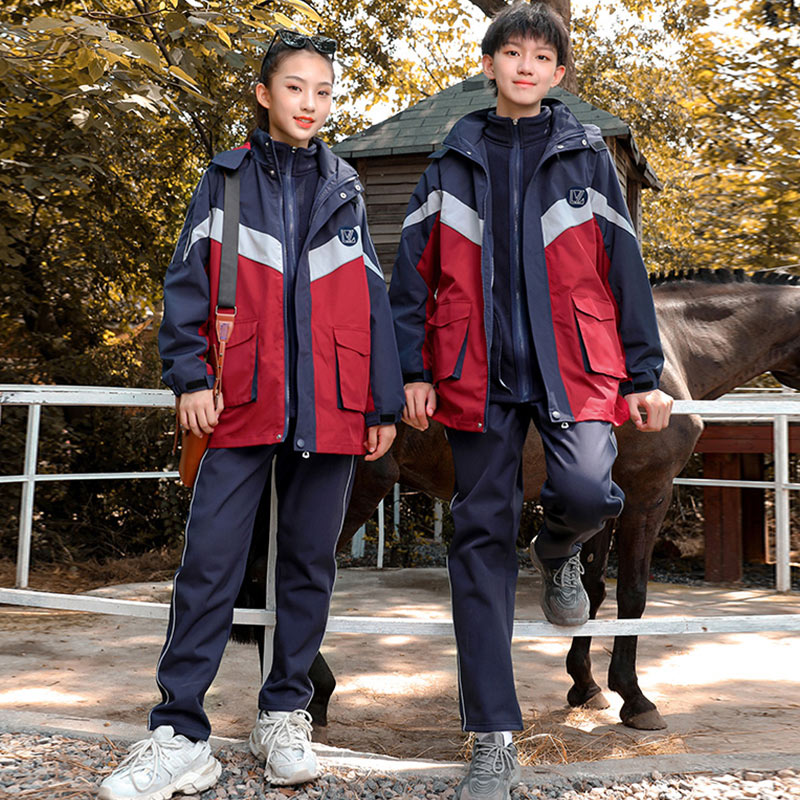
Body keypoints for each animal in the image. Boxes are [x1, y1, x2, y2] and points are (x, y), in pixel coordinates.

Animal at [236, 270, 800, 736]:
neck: (673, 346)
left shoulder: (607, 498)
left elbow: (594, 590)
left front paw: (585, 686)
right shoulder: (648, 493)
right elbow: (633, 596)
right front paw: (636, 699)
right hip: (360, 487)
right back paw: (314, 695)